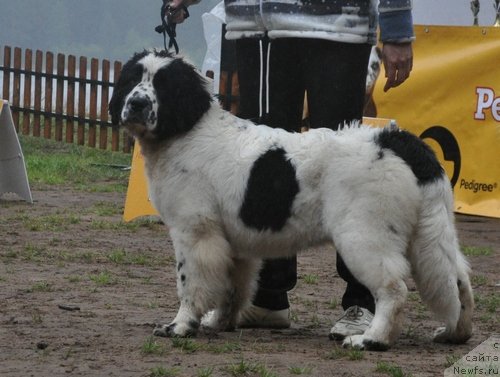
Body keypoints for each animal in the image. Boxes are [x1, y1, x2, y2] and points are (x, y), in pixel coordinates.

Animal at [109, 50, 472, 350]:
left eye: (162, 85)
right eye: (132, 80)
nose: (137, 104)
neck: (187, 130)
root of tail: (397, 139)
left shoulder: (195, 233)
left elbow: (190, 284)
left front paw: (180, 326)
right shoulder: (232, 242)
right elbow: (233, 286)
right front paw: (220, 322)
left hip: (363, 236)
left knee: (394, 288)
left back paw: (371, 339)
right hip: (429, 233)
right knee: (457, 281)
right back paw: (455, 333)